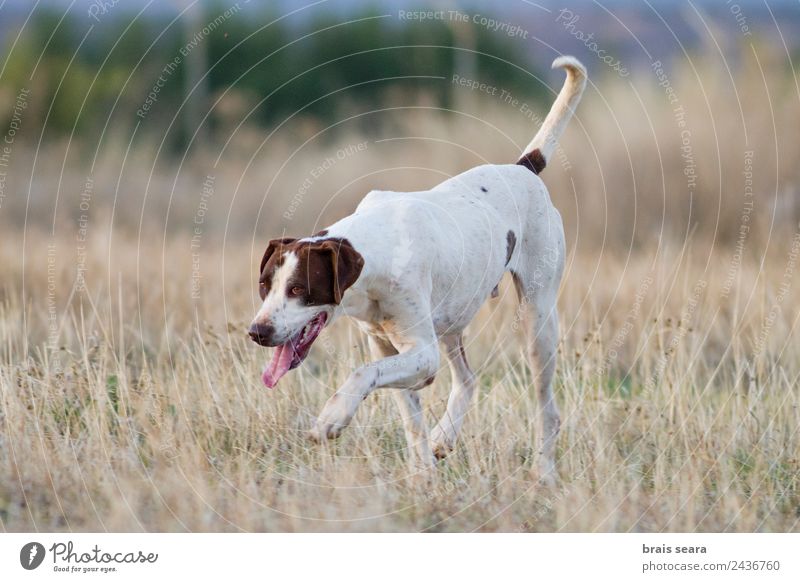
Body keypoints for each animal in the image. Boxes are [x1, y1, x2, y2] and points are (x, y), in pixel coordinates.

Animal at [250, 56, 588, 484]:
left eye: (298, 288)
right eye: (265, 285)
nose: (257, 331)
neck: (375, 249)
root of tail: (524, 168)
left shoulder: (421, 355)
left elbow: (362, 374)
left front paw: (333, 417)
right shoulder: (387, 345)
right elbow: (411, 419)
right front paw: (423, 477)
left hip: (537, 323)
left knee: (547, 409)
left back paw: (543, 473)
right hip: (451, 318)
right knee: (468, 380)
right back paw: (446, 436)